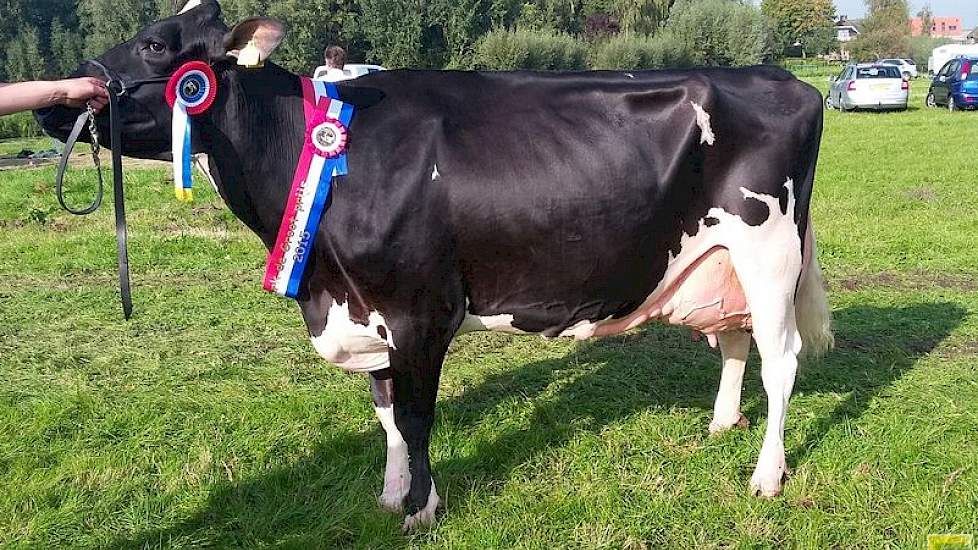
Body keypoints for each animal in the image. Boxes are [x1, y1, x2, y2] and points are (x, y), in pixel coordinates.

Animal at [38, 0, 832, 532]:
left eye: (152, 43)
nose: (59, 98)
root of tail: (784, 78)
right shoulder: (365, 305)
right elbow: (386, 410)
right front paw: (391, 495)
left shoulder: (418, 308)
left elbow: (416, 415)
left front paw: (423, 509)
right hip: (721, 257)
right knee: (734, 341)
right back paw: (722, 425)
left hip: (770, 248)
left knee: (780, 359)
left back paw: (766, 474)